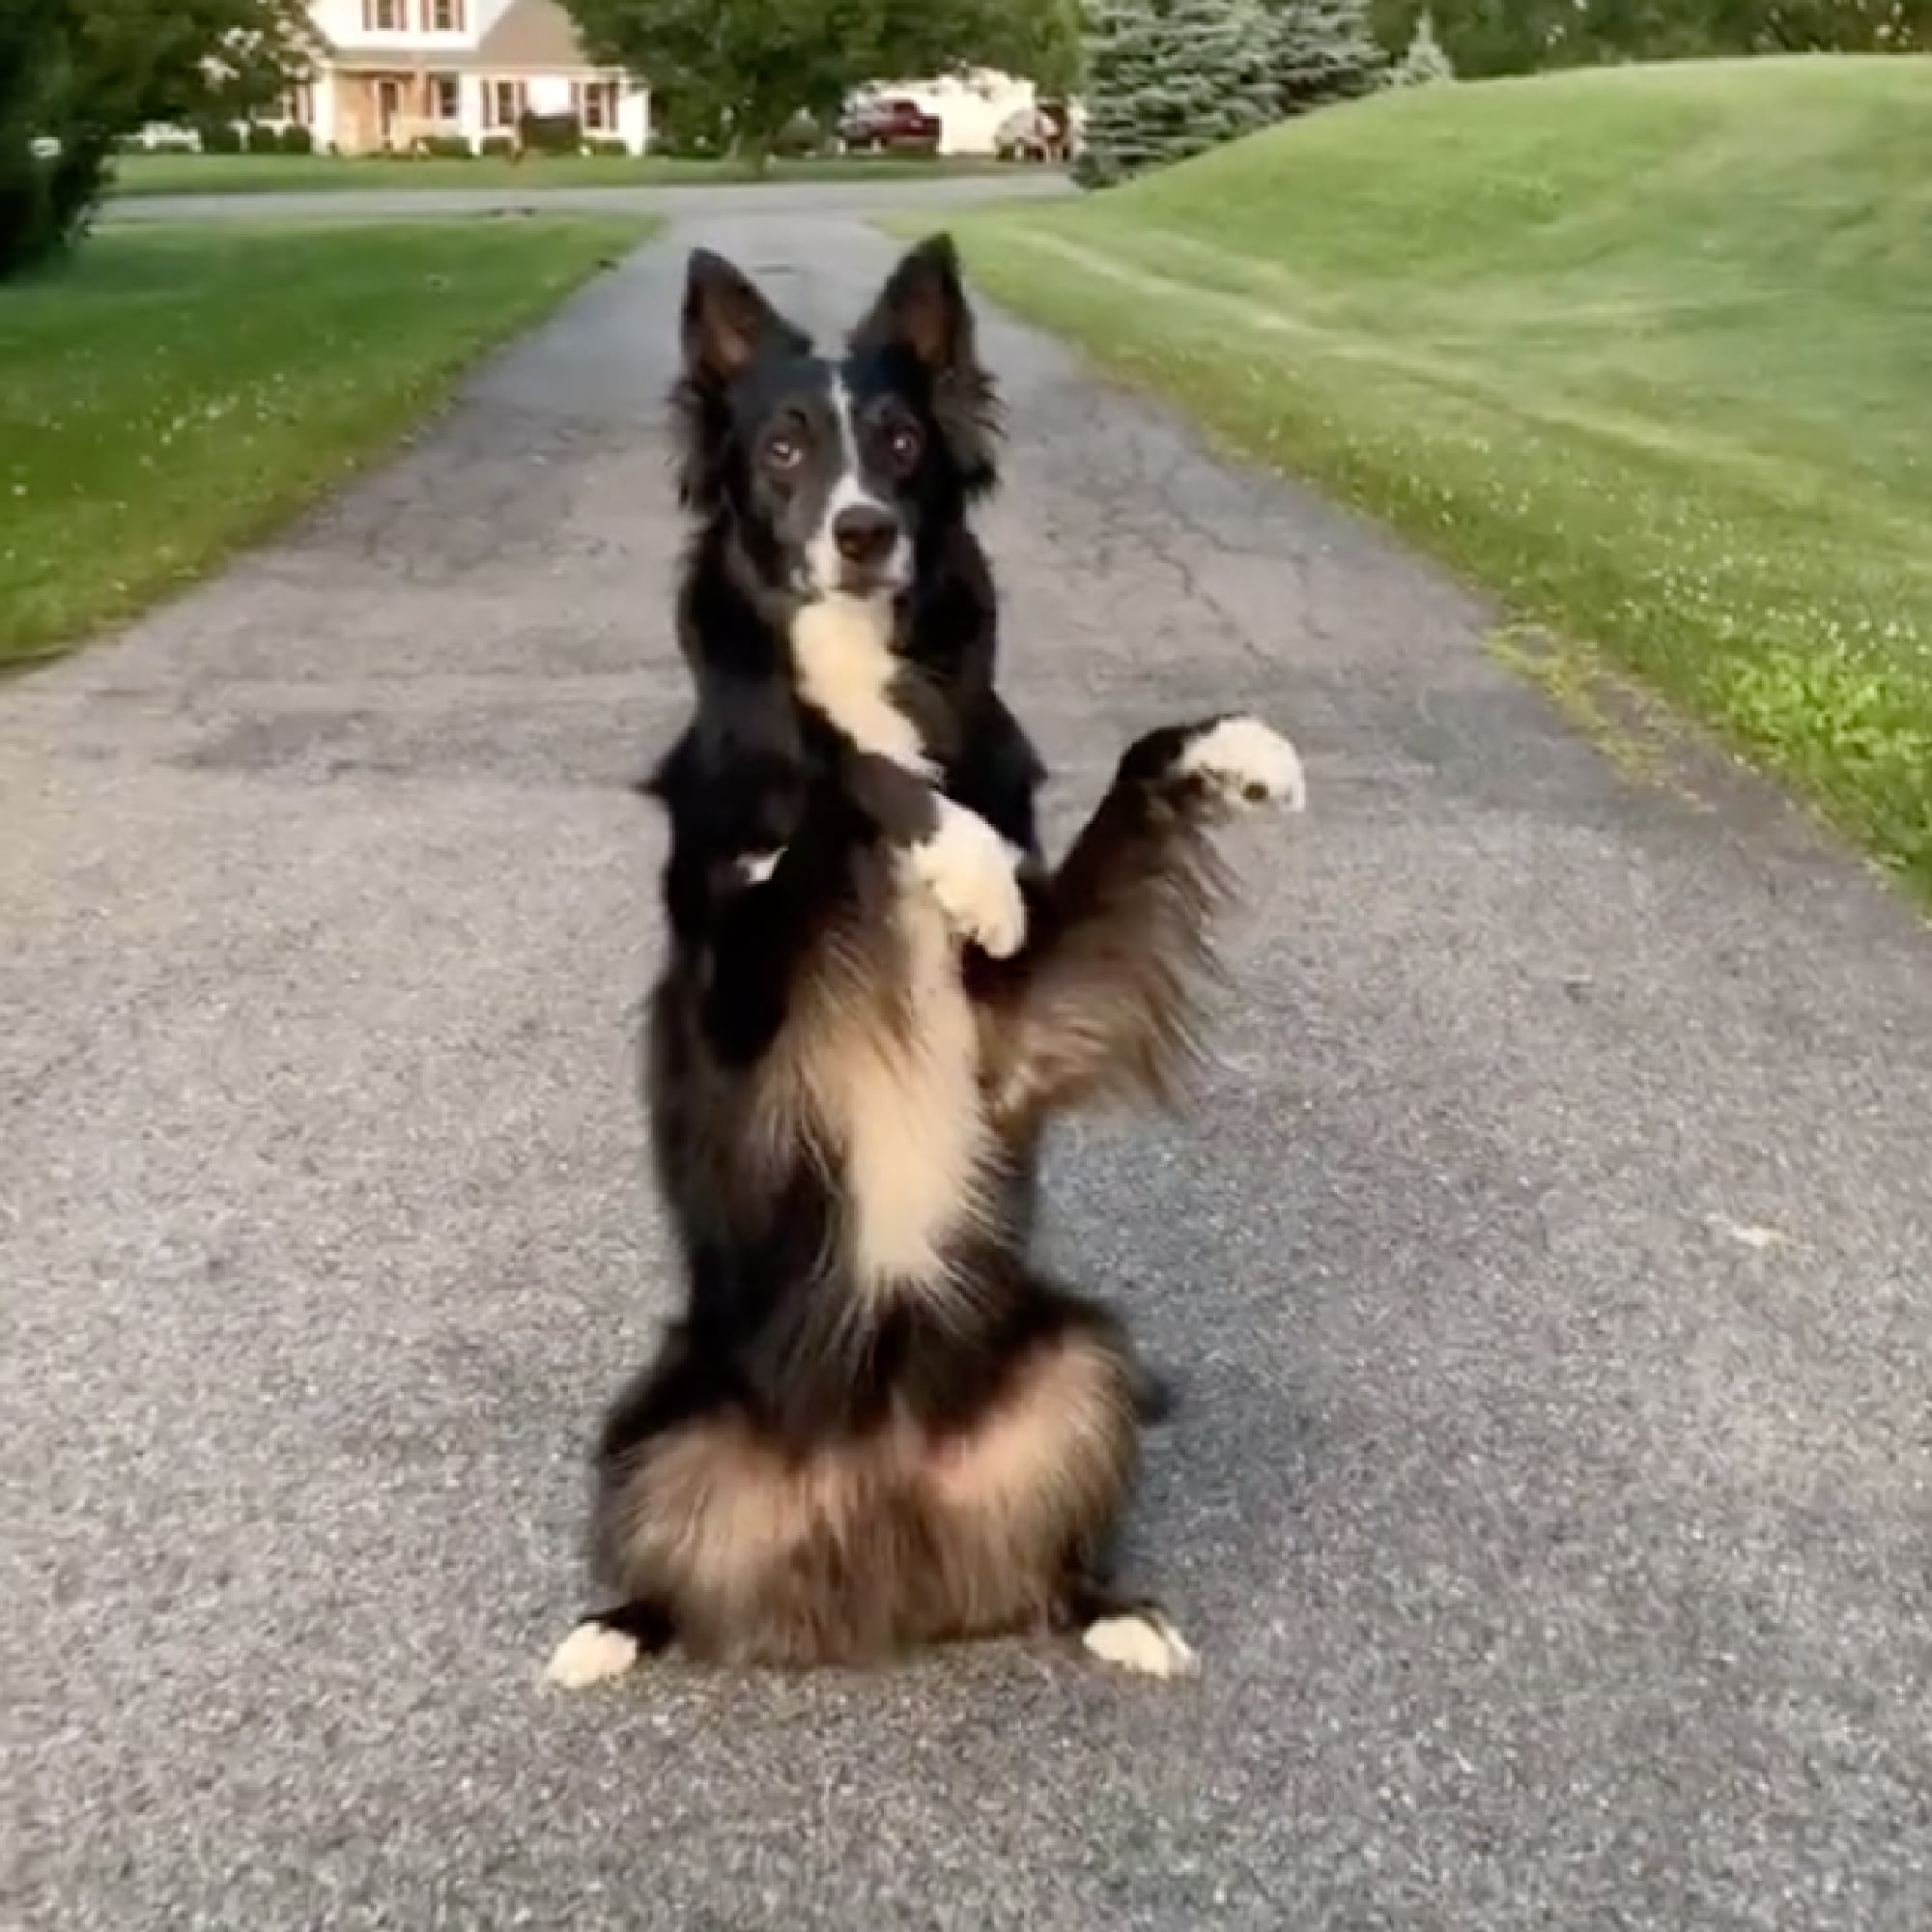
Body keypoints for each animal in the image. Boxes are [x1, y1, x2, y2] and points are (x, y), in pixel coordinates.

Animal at [541, 234, 1298, 1692]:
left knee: (1051, 1553)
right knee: (664, 1560)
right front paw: (965, 862)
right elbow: (850, 768)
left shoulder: (1015, 1030)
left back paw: (1112, 1609)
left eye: (897, 441)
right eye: (783, 445)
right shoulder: (737, 996)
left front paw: (1233, 750)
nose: (862, 531)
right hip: (661, 1408)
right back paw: (611, 1629)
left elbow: (1119, 779)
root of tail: (877, 1512)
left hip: (1076, 1351)